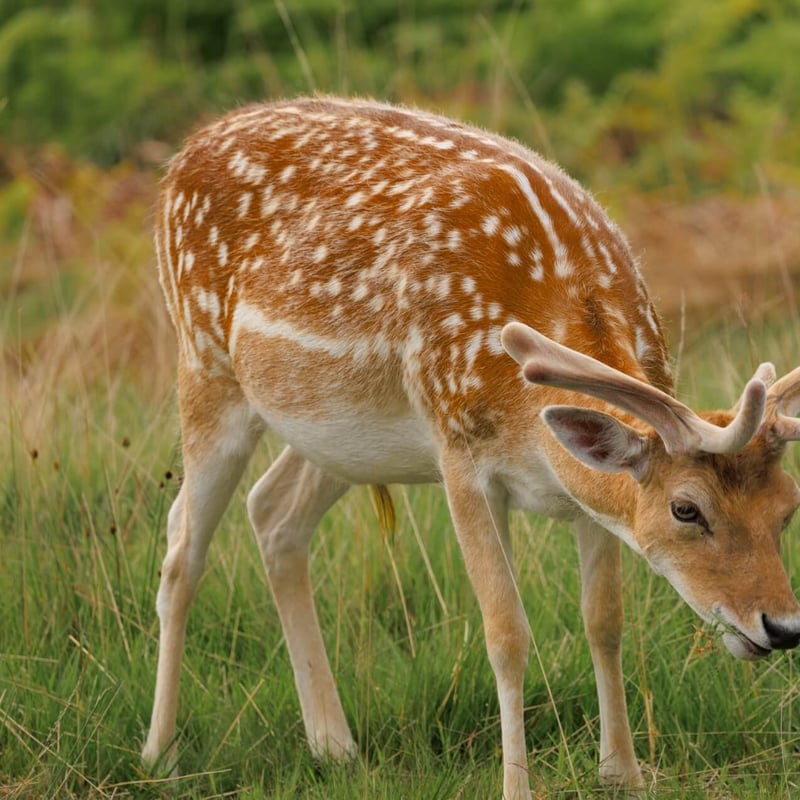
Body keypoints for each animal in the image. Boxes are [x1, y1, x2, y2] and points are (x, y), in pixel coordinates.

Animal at [142, 96, 800, 799]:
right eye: (687, 509)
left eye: (788, 507)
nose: (781, 627)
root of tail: (183, 154)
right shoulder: (461, 455)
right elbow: (506, 632)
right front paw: (517, 787)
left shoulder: (588, 492)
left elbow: (605, 620)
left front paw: (622, 771)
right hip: (205, 363)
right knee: (182, 549)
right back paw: (161, 754)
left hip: (338, 435)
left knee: (272, 511)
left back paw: (335, 745)